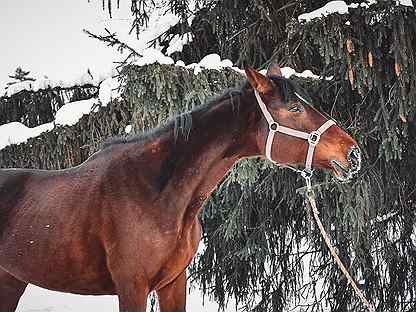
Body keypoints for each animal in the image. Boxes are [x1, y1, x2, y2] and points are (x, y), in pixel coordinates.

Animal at [0, 64, 360, 312]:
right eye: (294, 108)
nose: (353, 153)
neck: (156, 195)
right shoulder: (132, 286)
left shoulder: (174, 282)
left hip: (11, 280)